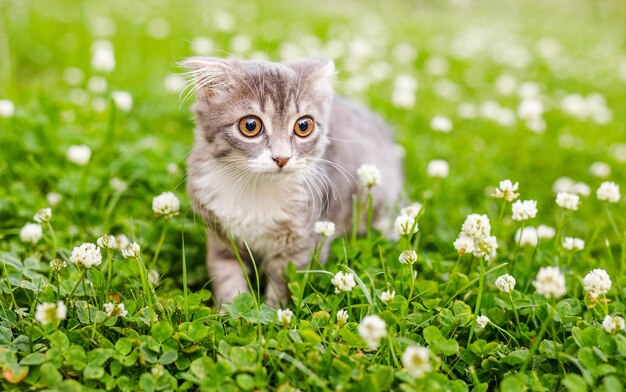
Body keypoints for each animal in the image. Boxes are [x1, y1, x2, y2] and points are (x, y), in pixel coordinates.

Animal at [183, 58, 402, 308]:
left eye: (303, 126)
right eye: (250, 125)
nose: (282, 158)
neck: (256, 188)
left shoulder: (301, 241)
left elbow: (284, 284)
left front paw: (274, 311)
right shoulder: (219, 234)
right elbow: (227, 277)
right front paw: (228, 311)